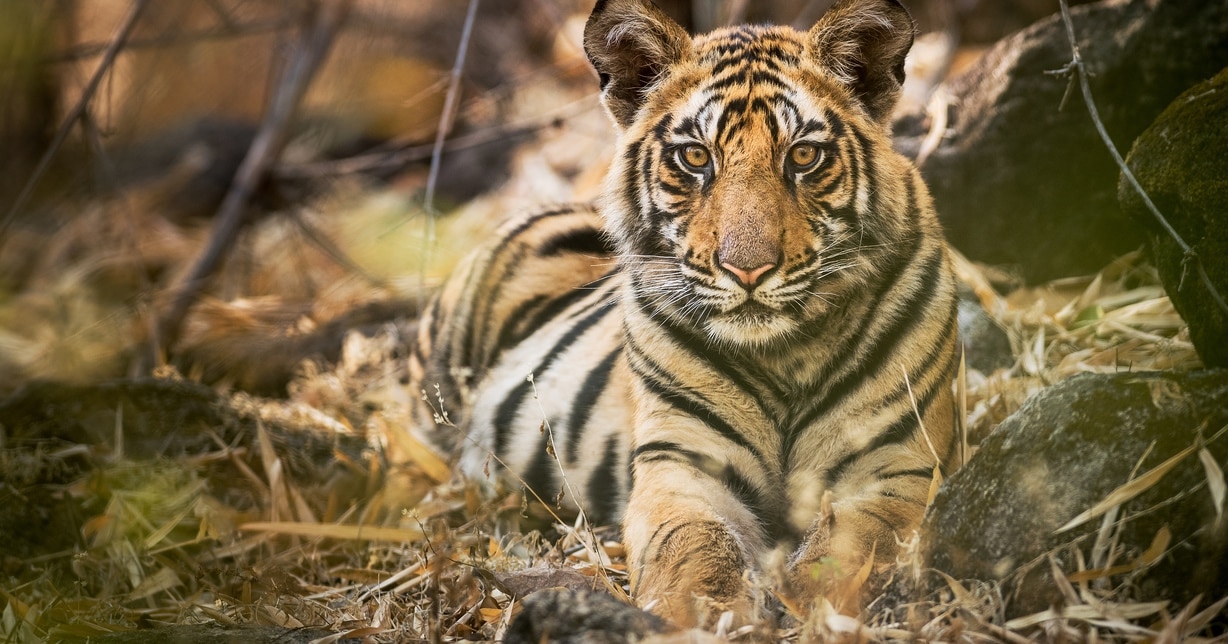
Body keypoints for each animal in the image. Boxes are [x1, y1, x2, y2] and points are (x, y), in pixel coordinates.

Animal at [406, 0, 960, 628]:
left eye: (803, 155)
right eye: (696, 157)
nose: (748, 269)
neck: (785, 354)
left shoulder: (899, 464)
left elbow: (854, 542)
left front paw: (809, 605)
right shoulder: (682, 464)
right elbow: (693, 544)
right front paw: (702, 613)